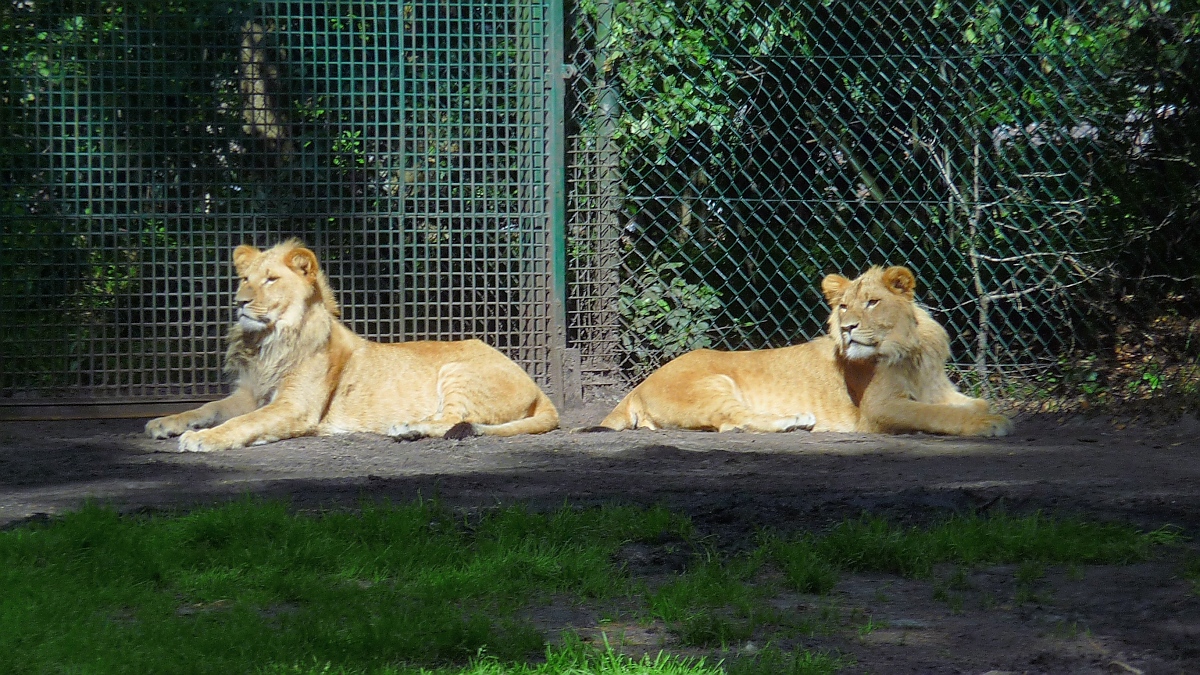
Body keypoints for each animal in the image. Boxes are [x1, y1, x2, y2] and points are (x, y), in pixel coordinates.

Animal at [144, 239, 556, 449]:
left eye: (271, 279)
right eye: (245, 278)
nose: (240, 302)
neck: (269, 341)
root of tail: (537, 386)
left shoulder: (295, 408)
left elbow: (245, 422)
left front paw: (204, 438)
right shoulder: (249, 393)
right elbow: (208, 407)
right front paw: (165, 423)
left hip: (458, 370)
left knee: (457, 420)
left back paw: (407, 427)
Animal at [597, 263, 1012, 437]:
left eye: (872, 302)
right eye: (843, 306)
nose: (847, 328)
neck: (910, 351)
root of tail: (636, 389)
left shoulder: (940, 390)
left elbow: (974, 403)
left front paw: (987, 414)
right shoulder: (879, 408)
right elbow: (933, 415)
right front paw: (988, 425)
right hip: (712, 383)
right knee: (733, 420)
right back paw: (795, 420)